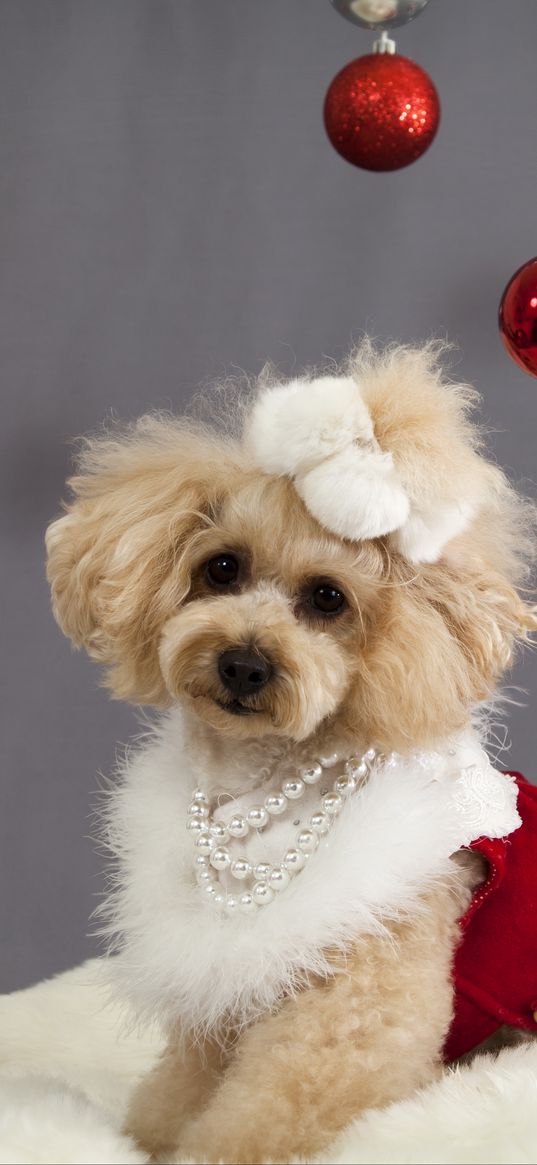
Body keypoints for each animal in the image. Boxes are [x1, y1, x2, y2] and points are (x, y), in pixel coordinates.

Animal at [47, 340, 535, 1160]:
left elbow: (268, 1112)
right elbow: (178, 1090)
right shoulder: (226, 993)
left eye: (327, 598)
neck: (264, 785)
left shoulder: (354, 1002)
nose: (243, 664)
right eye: (221, 567)